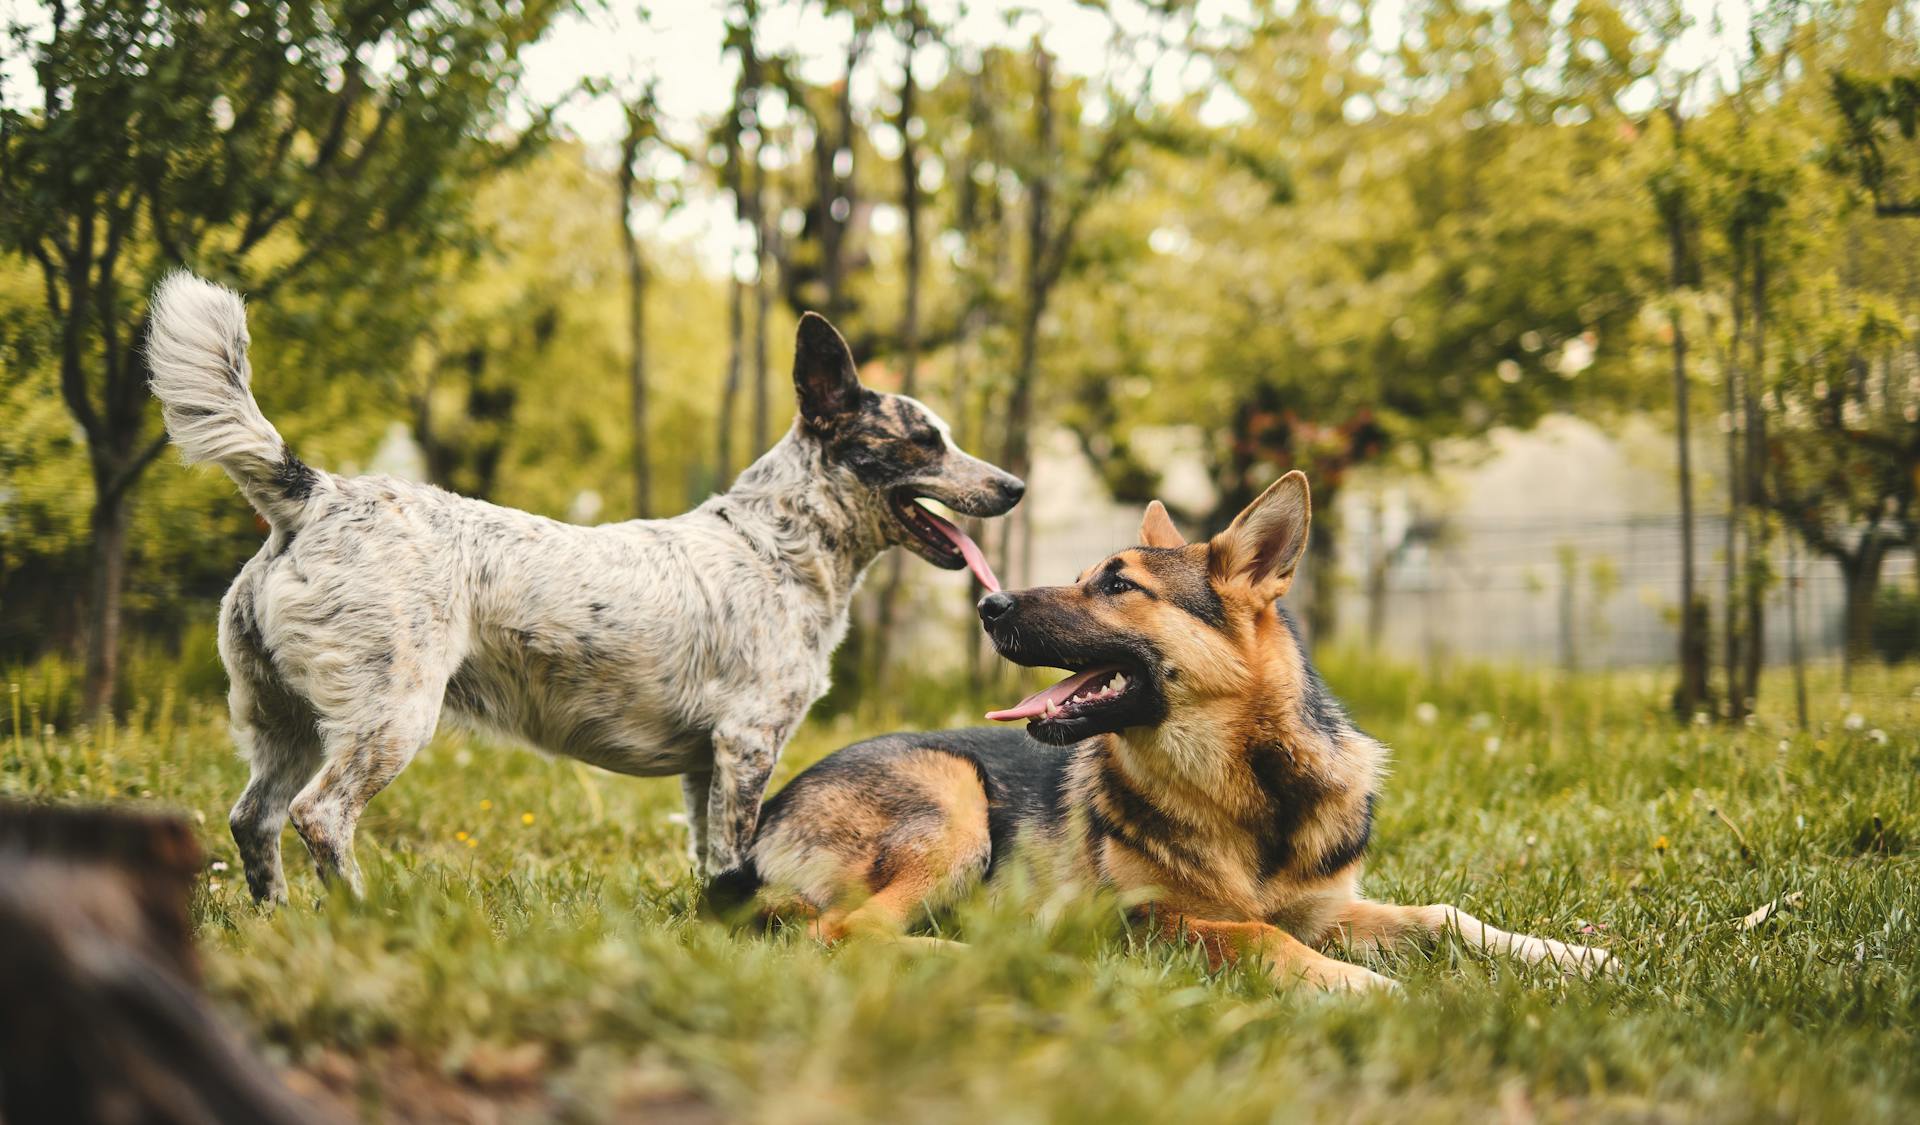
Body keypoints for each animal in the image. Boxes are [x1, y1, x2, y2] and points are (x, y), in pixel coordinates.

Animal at [718, 468, 1605, 982]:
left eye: (1116, 584)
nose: (987, 603)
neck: (1247, 785)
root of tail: (760, 830)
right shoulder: (1144, 918)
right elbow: (1259, 938)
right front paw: (1364, 986)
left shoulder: (1329, 909)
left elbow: (1444, 916)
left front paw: (1569, 954)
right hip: (953, 803)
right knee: (842, 931)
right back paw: (996, 957)